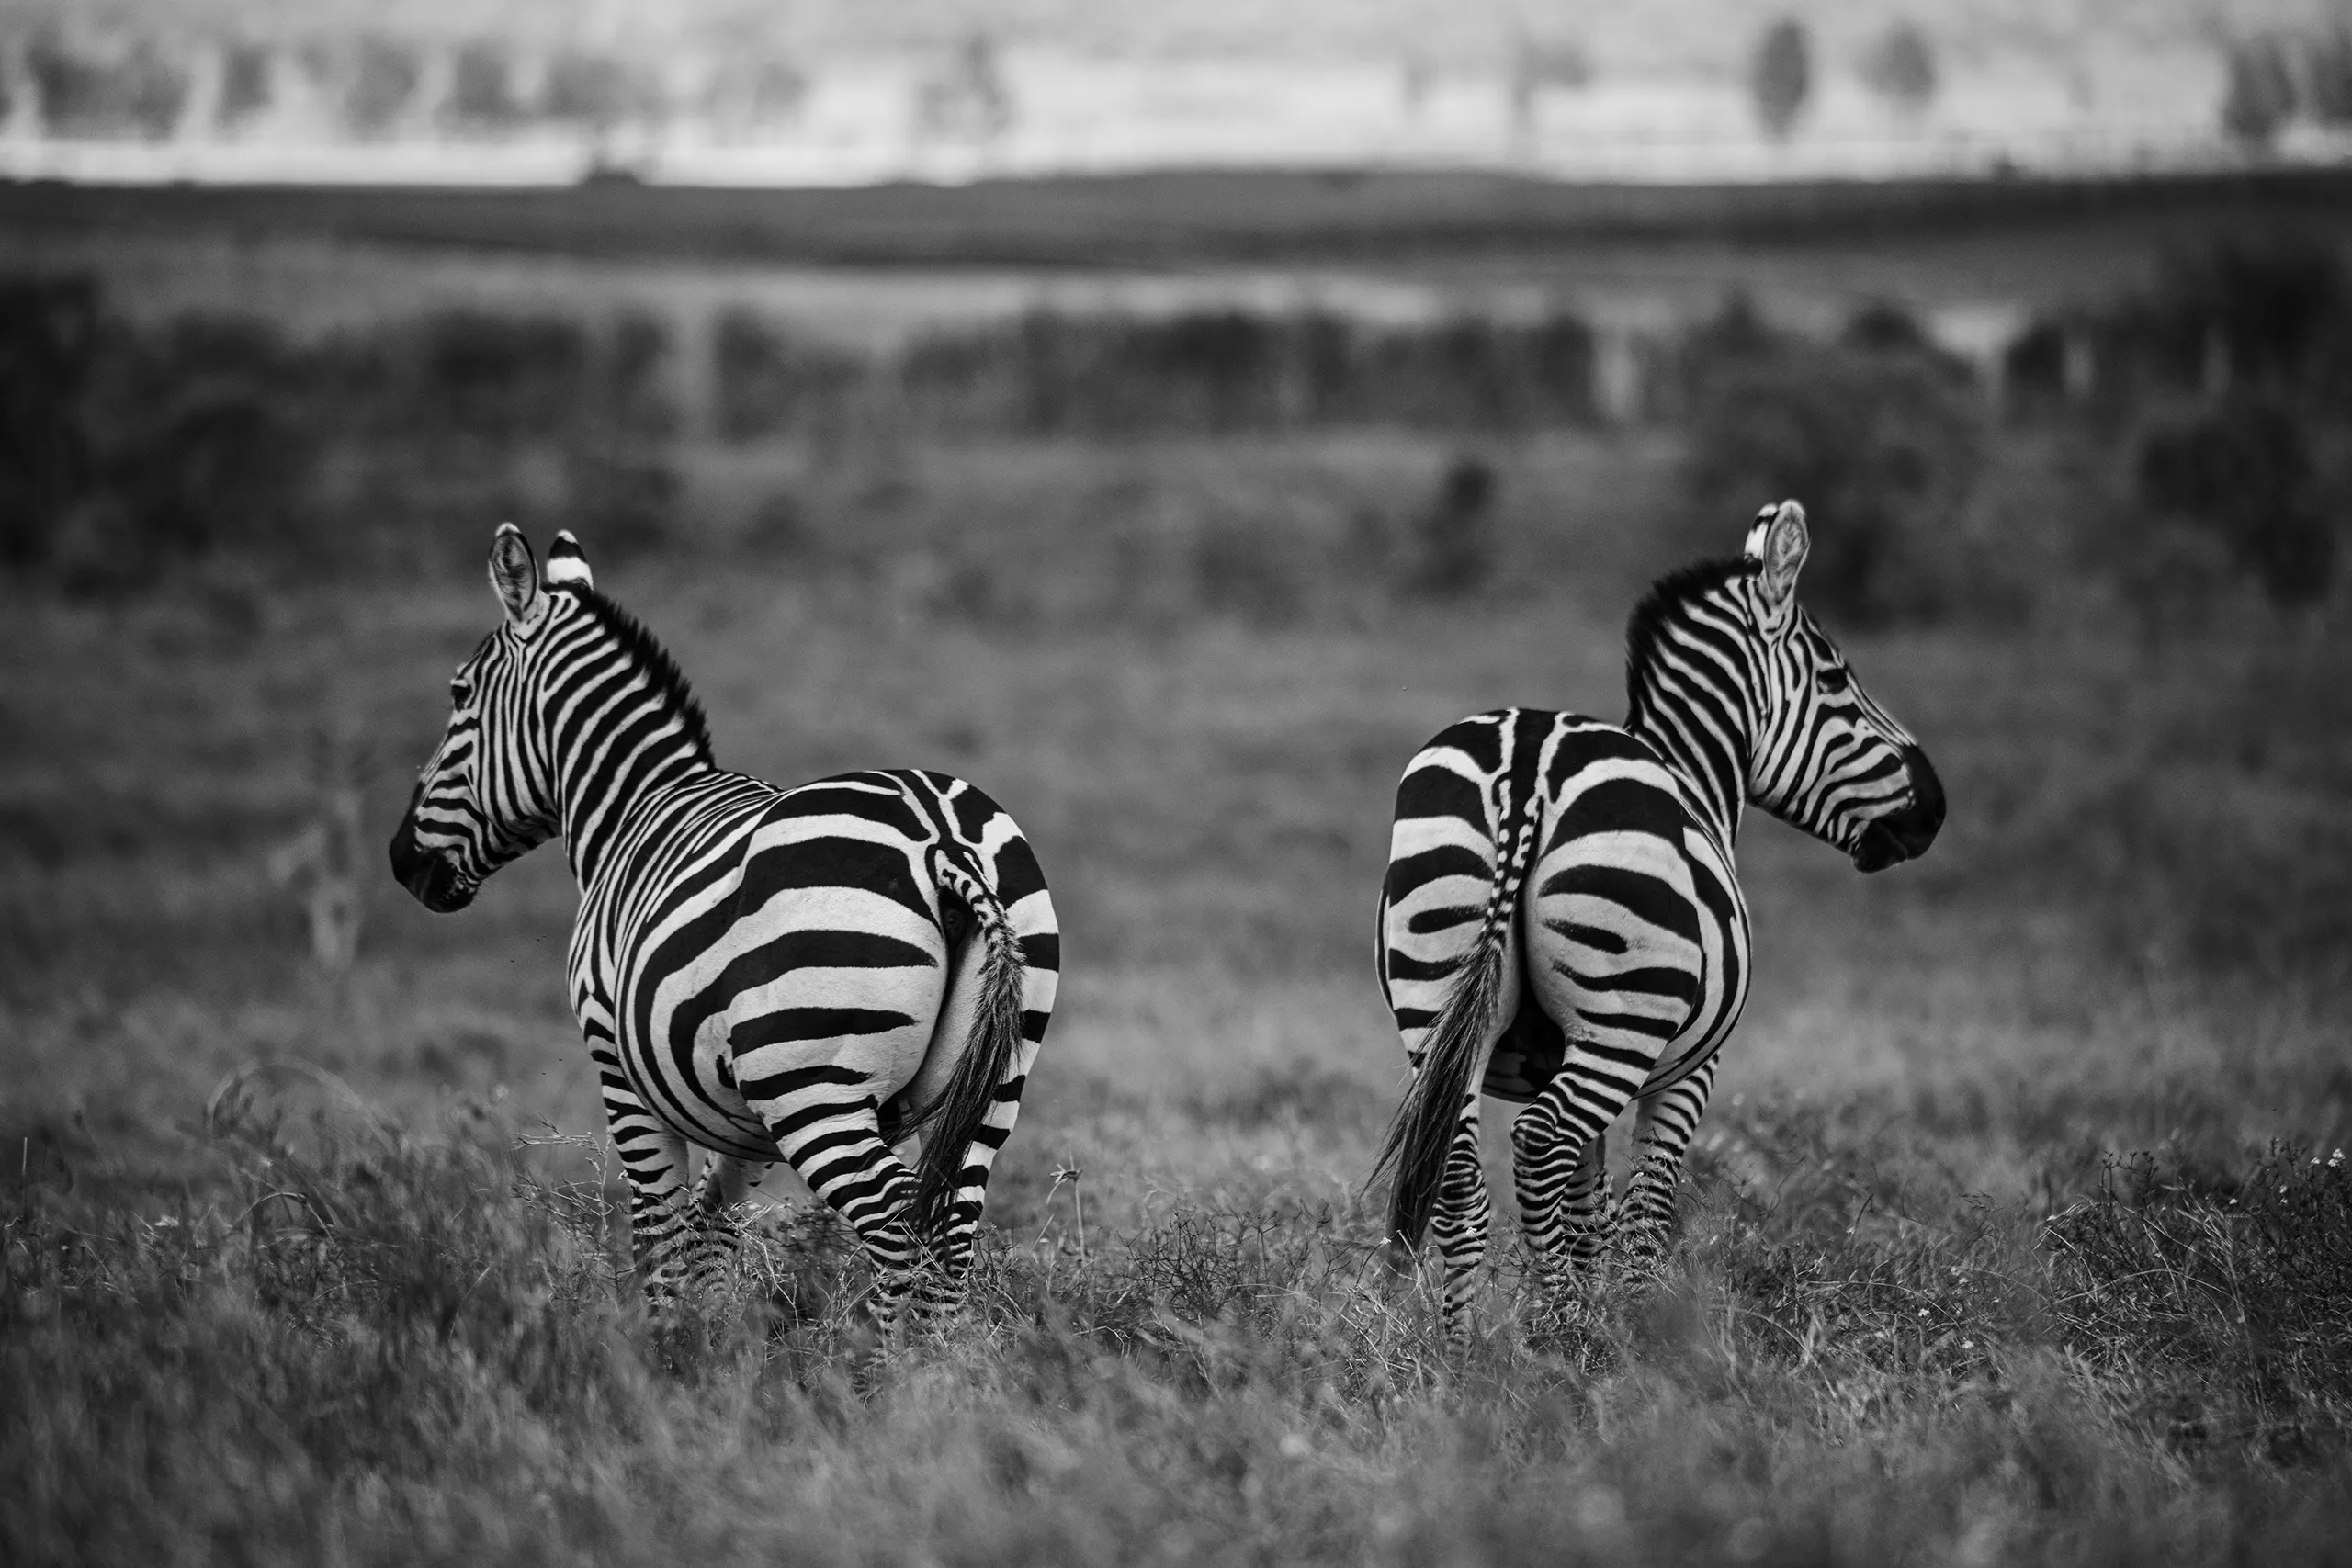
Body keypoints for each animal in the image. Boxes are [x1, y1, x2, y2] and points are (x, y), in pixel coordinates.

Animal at [389, 525, 1060, 1337]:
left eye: (459, 696)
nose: (401, 861)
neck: (632, 808)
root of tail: (942, 839)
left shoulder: (619, 1063)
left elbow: (660, 1229)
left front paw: (661, 1346)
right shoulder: (743, 1114)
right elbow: (712, 1228)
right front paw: (710, 1346)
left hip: (815, 1083)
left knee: (899, 1223)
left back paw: (878, 1368)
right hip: (992, 1079)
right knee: (951, 1225)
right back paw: (939, 1371)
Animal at [1370, 500, 1943, 1337]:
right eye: (1838, 678)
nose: (1934, 806)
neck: (1693, 772)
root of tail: (1528, 760)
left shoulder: (1550, 1056)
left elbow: (1587, 1211)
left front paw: (1579, 1308)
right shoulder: (1689, 1071)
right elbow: (1641, 1214)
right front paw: (1634, 1333)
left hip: (1433, 1005)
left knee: (1462, 1176)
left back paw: (1461, 1349)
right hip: (1622, 1019)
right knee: (1538, 1143)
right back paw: (1566, 1336)